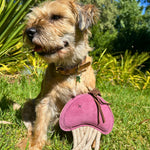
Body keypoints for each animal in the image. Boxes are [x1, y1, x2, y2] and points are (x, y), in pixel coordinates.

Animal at [21, 0, 98, 149]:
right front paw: (36, 145)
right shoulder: (46, 100)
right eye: (34, 17)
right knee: (30, 127)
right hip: (28, 104)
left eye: (56, 17)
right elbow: (40, 125)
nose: (29, 31)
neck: (69, 70)